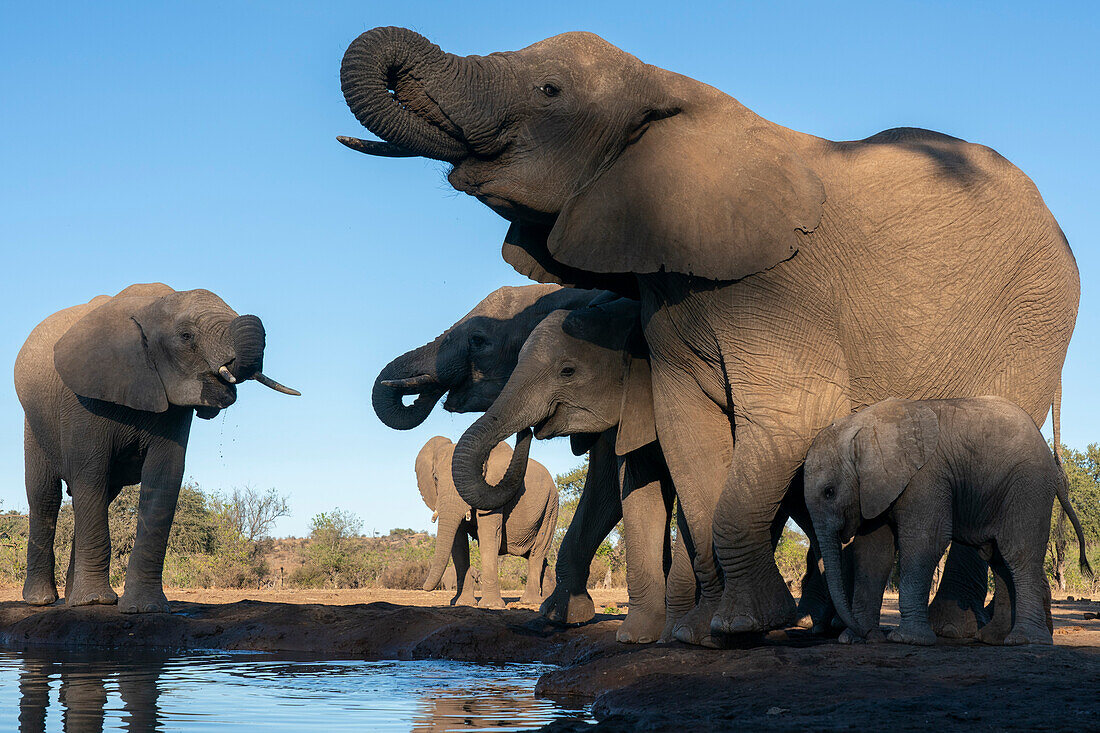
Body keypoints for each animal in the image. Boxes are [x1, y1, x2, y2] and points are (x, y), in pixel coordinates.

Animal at [15, 280, 299, 611]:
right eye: (186, 336)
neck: (150, 307)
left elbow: (164, 475)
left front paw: (143, 607)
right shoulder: (82, 400)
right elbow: (89, 473)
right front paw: (95, 602)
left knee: (102, 495)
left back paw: (74, 598)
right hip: (34, 422)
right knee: (46, 496)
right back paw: (43, 601)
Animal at [413, 433, 558, 603]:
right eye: (436, 478)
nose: (423, 588)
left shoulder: (495, 489)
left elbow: (488, 536)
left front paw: (491, 605)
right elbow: (459, 542)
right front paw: (463, 603)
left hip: (551, 507)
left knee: (538, 551)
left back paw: (530, 601)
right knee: (533, 554)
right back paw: (547, 599)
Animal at [800, 396, 1091, 642]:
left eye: (829, 492)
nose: (874, 633)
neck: (864, 425)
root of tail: (1052, 462)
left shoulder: (925, 477)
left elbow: (924, 542)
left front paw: (906, 639)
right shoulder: (874, 490)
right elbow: (873, 554)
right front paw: (854, 639)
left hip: (1028, 485)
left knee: (1018, 553)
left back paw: (1025, 641)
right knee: (999, 559)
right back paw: (993, 639)